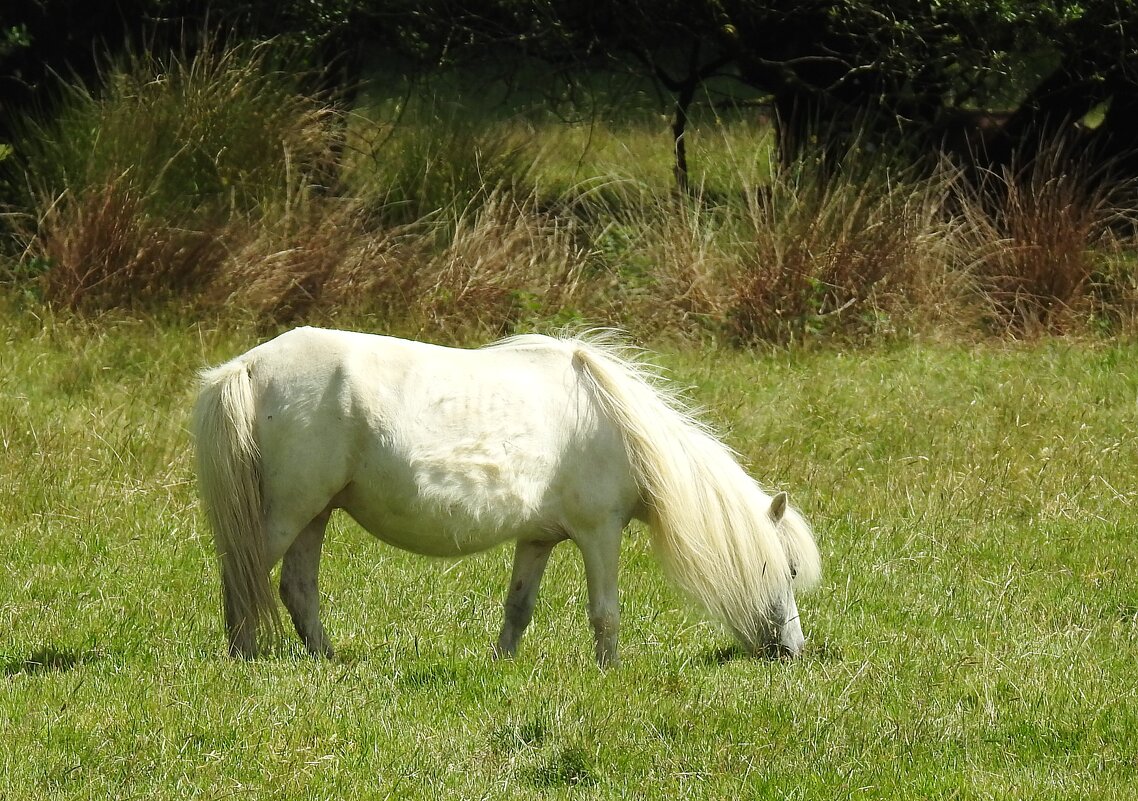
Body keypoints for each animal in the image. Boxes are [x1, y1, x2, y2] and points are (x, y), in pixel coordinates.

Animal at [193, 325, 819, 664]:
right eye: (787, 569)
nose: (795, 651)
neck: (618, 426)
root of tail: (248, 366)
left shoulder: (538, 541)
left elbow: (519, 608)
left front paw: (502, 666)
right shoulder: (600, 533)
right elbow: (606, 613)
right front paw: (611, 673)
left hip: (315, 514)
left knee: (297, 589)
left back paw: (329, 660)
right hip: (287, 513)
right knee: (244, 574)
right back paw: (244, 657)